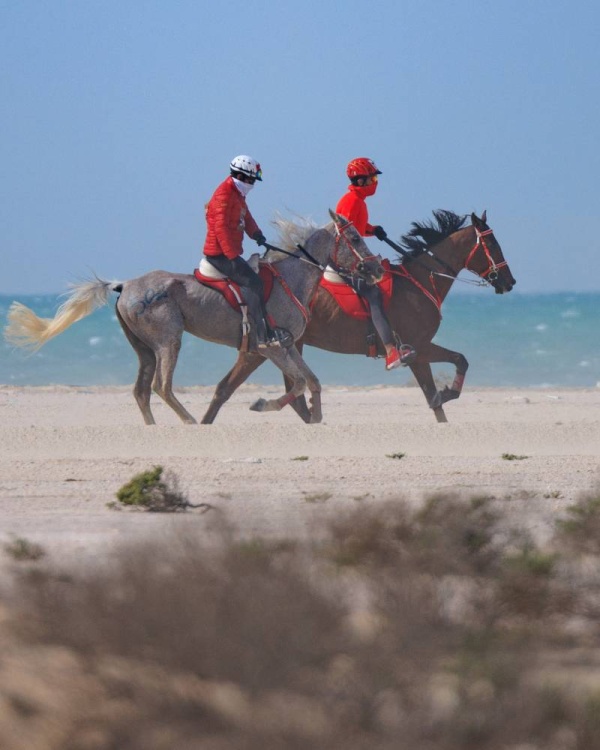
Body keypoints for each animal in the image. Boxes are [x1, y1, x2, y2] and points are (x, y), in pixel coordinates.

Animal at [4, 212, 382, 426]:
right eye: (354, 237)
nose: (376, 268)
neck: (291, 277)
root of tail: (124, 285)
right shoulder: (270, 348)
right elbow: (300, 383)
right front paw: (262, 404)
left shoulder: (286, 347)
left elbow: (313, 382)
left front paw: (315, 419)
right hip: (169, 342)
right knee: (161, 386)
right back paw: (188, 421)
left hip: (144, 350)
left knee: (142, 391)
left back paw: (154, 427)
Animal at [200, 209, 516, 426]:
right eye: (493, 245)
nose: (510, 282)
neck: (419, 281)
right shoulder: (418, 348)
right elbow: (448, 377)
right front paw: (447, 392)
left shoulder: (421, 351)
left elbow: (446, 382)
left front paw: (446, 396)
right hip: (262, 348)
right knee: (229, 388)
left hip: (291, 345)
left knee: (292, 392)